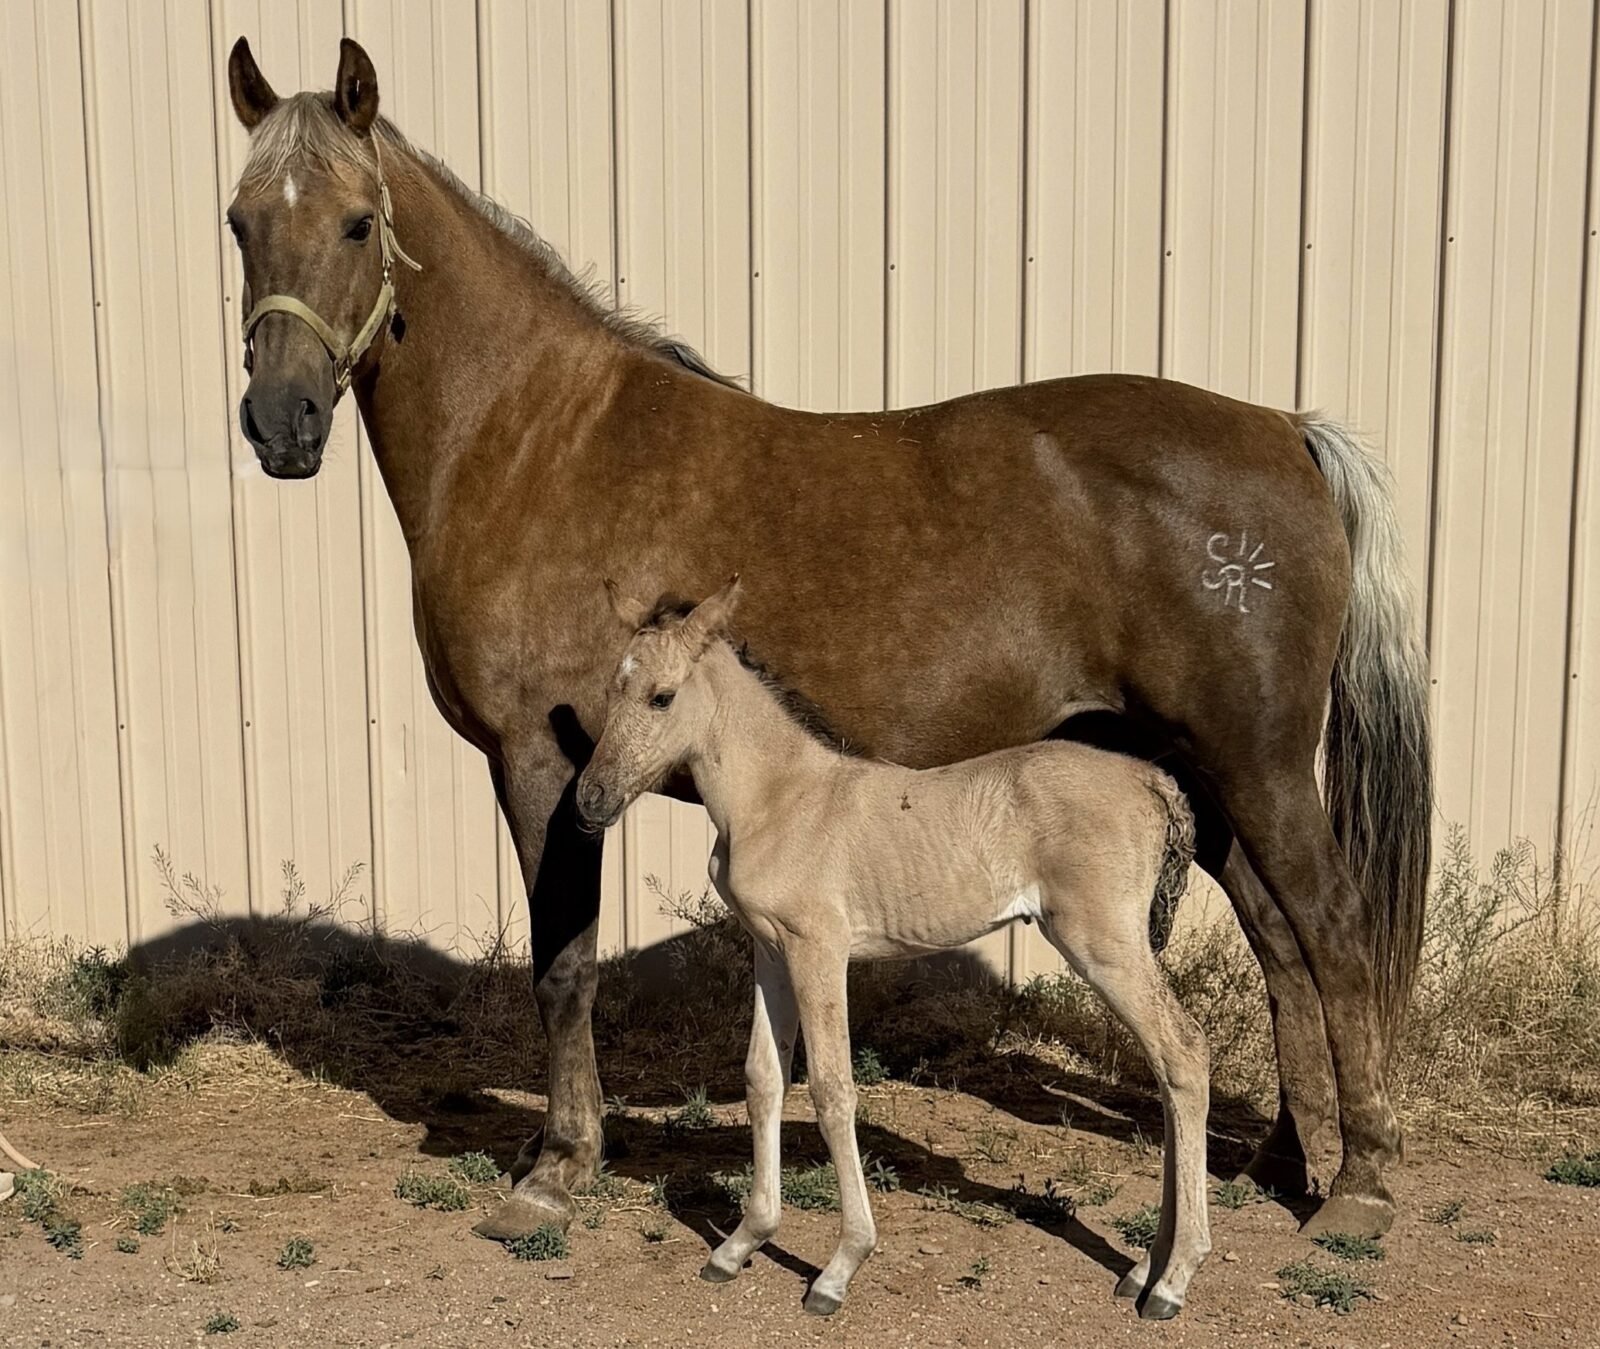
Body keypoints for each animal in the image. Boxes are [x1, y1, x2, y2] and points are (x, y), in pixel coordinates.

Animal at [576, 577, 1209, 1317]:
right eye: (613, 688)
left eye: (662, 696)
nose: (590, 799)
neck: (780, 797)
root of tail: (1153, 780)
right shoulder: (771, 951)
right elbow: (763, 1078)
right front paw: (740, 1243)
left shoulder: (819, 950)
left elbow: (831, 1087)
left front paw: (839, 1267)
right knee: (1167, 1070)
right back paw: (1144, 1270)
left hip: (1103, 944)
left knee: (1185, 1053)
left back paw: (1173, 1280)